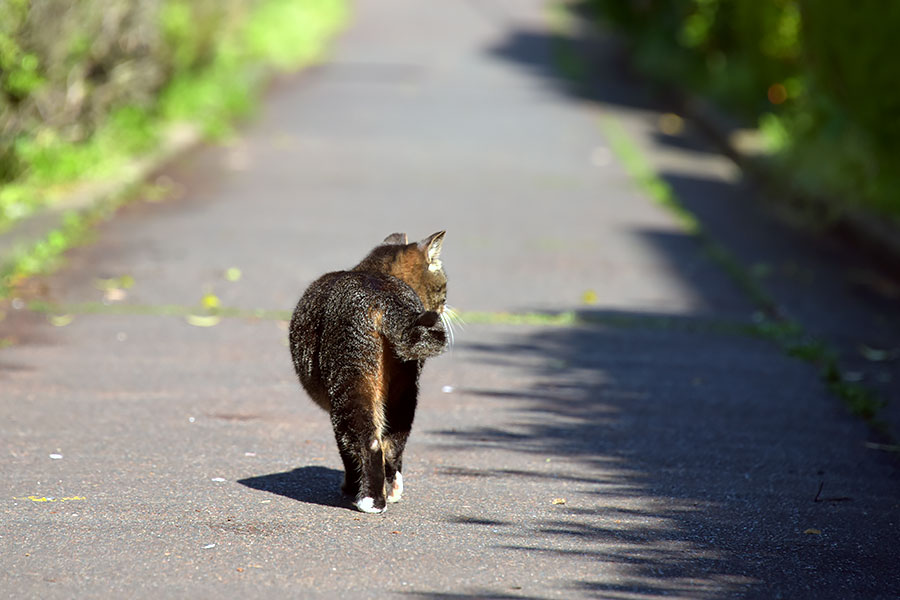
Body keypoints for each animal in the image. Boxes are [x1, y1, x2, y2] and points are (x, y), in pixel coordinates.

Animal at [290, 232, 450, 512]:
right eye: (443, 287)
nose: (446, 303)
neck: (371, 270)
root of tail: (381, 296)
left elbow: (346, 452)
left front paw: (350, 487)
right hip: (403, 392)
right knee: (392, 443)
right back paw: (392, 491)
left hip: (351, 384)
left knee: (369, 442)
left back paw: (371, 500)